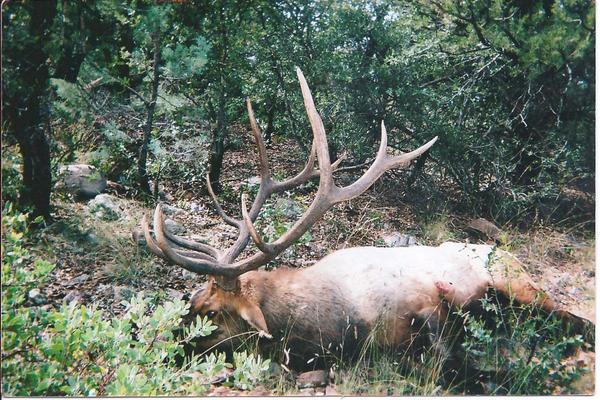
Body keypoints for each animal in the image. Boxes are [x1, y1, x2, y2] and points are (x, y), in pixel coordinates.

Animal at [138, 68, 592, 382]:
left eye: (211, 312)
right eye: (191, 297)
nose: (166, 345)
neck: (335, 321)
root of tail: (512, 256)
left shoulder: (427, 305)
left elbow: (445, 356)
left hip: (521, 284)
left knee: (575, 320)